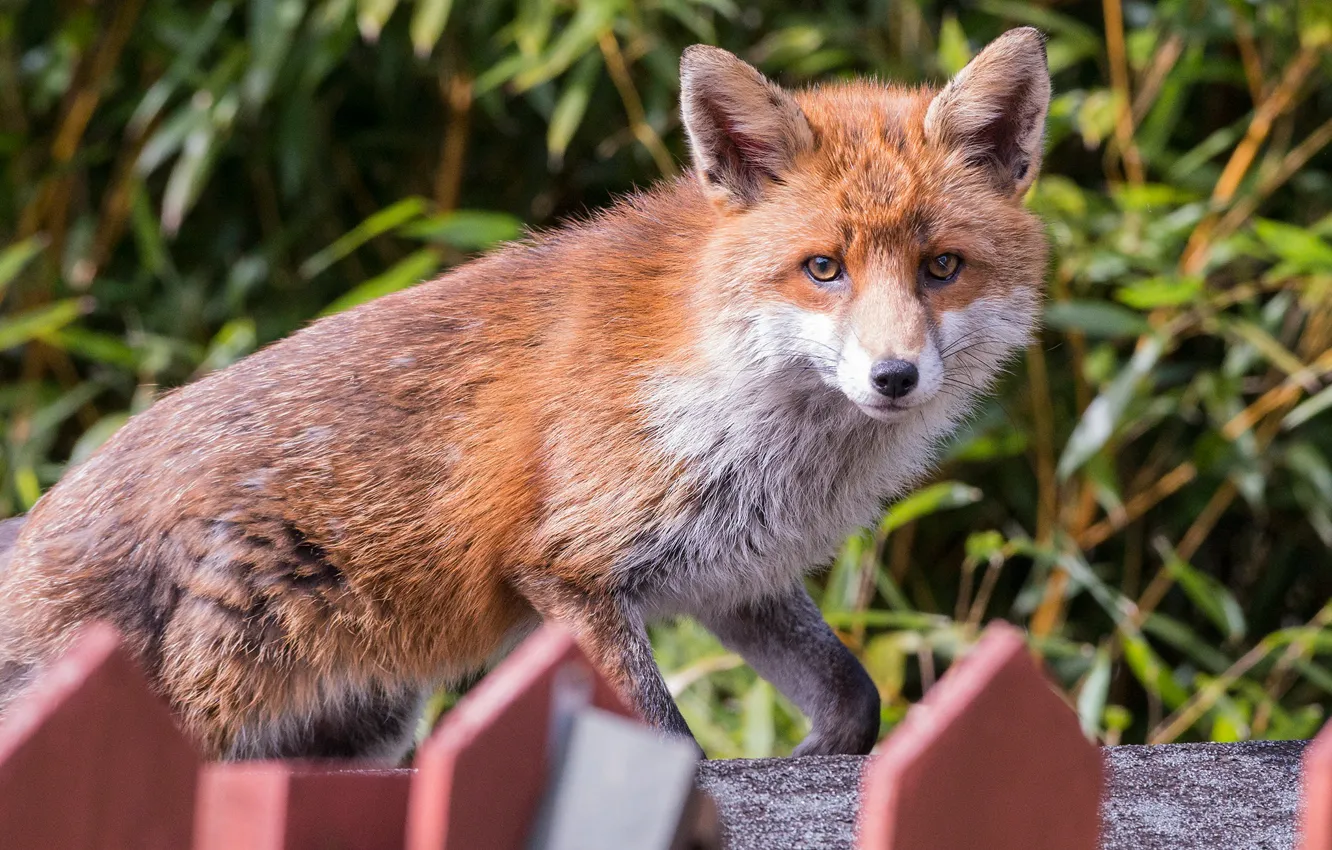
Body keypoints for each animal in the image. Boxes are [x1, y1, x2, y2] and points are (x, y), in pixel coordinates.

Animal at [0, 28, 1050, 761]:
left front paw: (809, 761)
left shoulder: (734, 574)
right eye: (824, 268)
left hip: (360, 729)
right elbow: (667, 740)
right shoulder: (568, 565)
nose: (893, 377)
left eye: (943, 267)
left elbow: (855, 700)